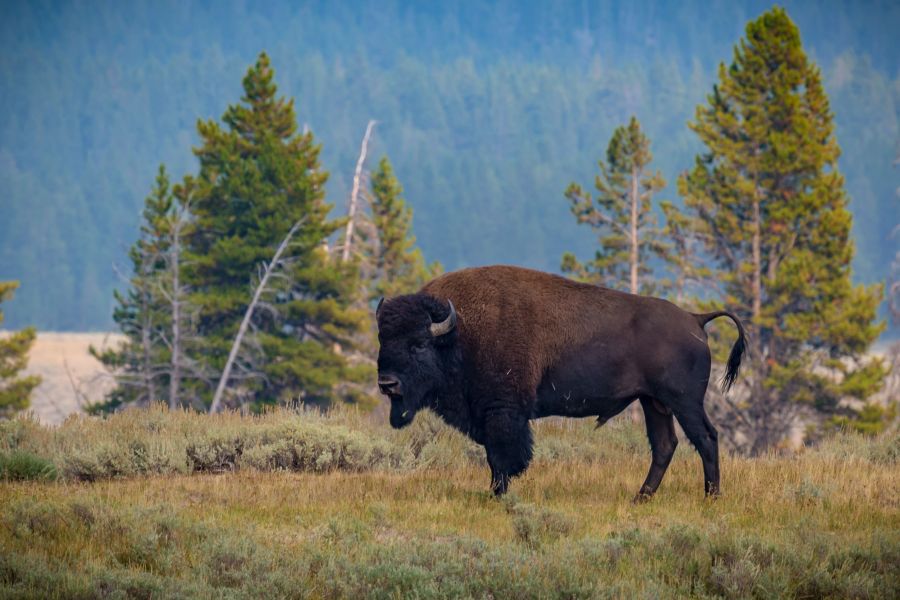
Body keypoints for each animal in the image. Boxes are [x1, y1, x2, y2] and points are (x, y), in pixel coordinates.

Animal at [372, 266, 744, 496]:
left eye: (418, 344)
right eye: (382, 341)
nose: (387, 383)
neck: (459, 334)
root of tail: (695, 319)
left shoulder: (502, 412)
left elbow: (502, 458)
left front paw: (497, 494)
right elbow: (496, 457)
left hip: (683, 401)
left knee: (706, 438)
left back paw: (711, 497)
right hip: (654, 403)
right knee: (665, 445)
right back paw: (640, 497)